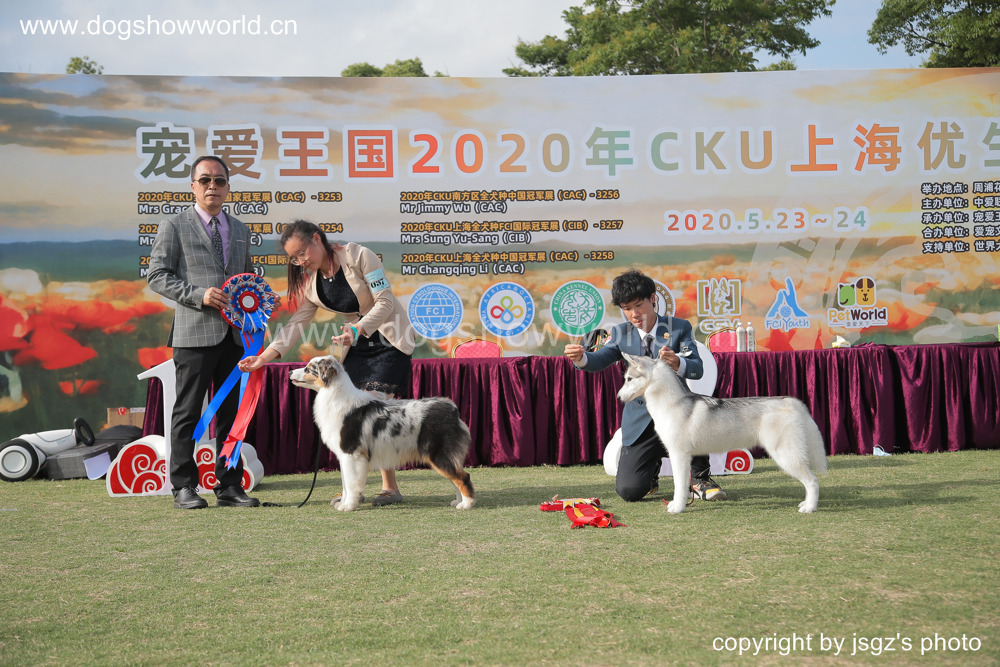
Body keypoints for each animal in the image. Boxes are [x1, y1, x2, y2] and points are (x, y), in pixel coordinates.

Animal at [289, 355, 475, 511]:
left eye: (308, 368)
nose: (290, 372)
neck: (334, 395)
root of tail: (452, 408)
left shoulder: (351, 454)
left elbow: (350, 483)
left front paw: (348, 506)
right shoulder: (344, 456)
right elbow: (346, 484)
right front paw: (344, 503)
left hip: (438, 454)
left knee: (463, 477)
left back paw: (466, 504)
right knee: (456, 477)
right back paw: (458, 501)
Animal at [618, 353, 827, 513]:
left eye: (629, 379)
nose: (618, 397)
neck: (672, 404)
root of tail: (793, 402)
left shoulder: (679, 455)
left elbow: (679, 486)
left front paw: (678, 507)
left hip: (786, 456)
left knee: (812, 481)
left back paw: (810, 507)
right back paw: (806, 503)